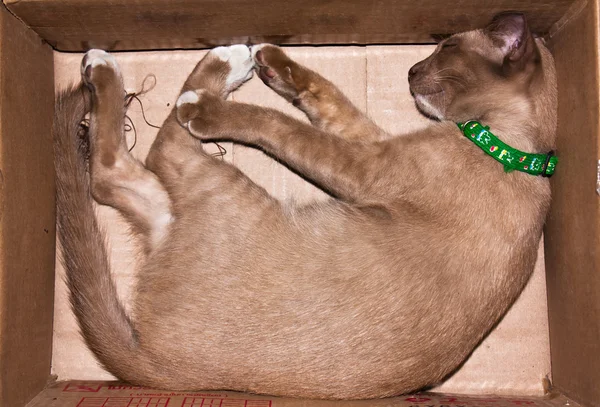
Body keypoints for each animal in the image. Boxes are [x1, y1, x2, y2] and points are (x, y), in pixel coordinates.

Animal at [55, 13, 556, 402]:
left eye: (447, 47)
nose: (411, 69)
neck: (513, 148)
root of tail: (157, 365)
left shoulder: (365, 166)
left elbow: (282, 127)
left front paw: (218, 100)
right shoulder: (369, 141)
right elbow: (326, 98)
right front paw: (274, 63)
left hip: (219, 184)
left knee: (156, 149)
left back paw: (172, 68)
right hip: (175, 200)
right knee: (109, 179)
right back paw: (227, 59)